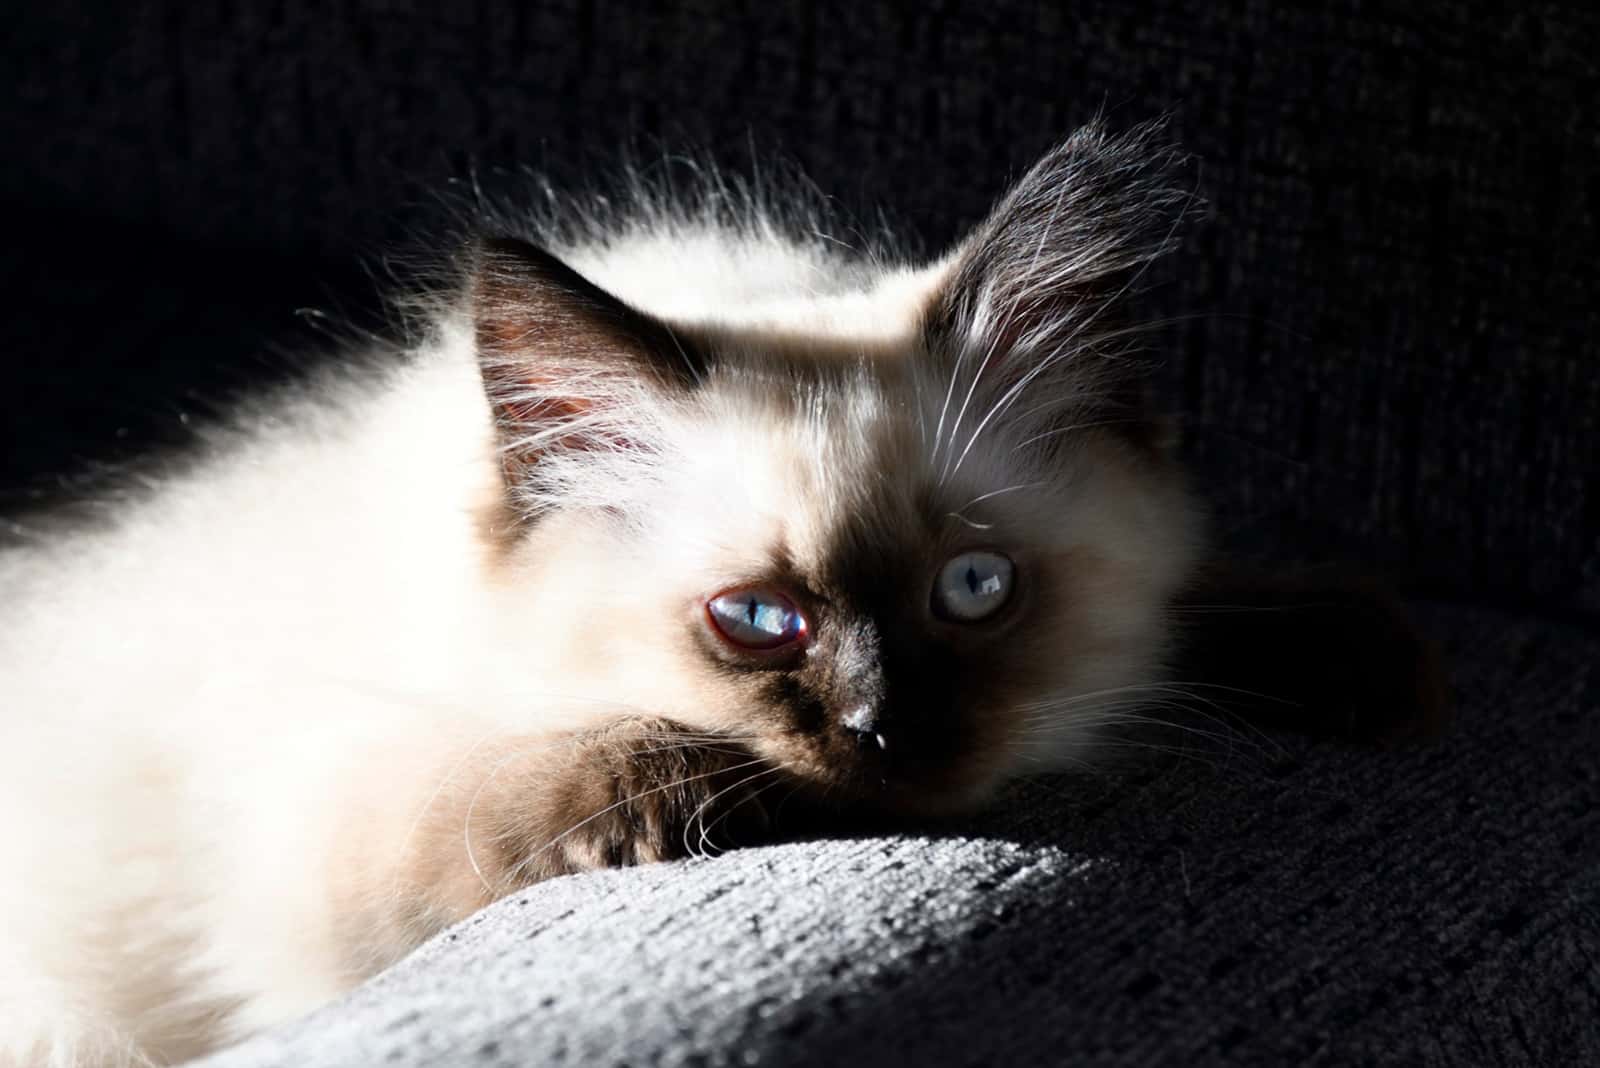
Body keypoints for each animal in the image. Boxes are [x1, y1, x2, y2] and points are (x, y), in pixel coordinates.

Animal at [0, 125, 1440, 1068]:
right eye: (758, 624)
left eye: (973, 591)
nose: (882, 735)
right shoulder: (321, 845)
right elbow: (556, 779)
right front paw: (726, 787)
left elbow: (1202, 607)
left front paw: (1352, 652)